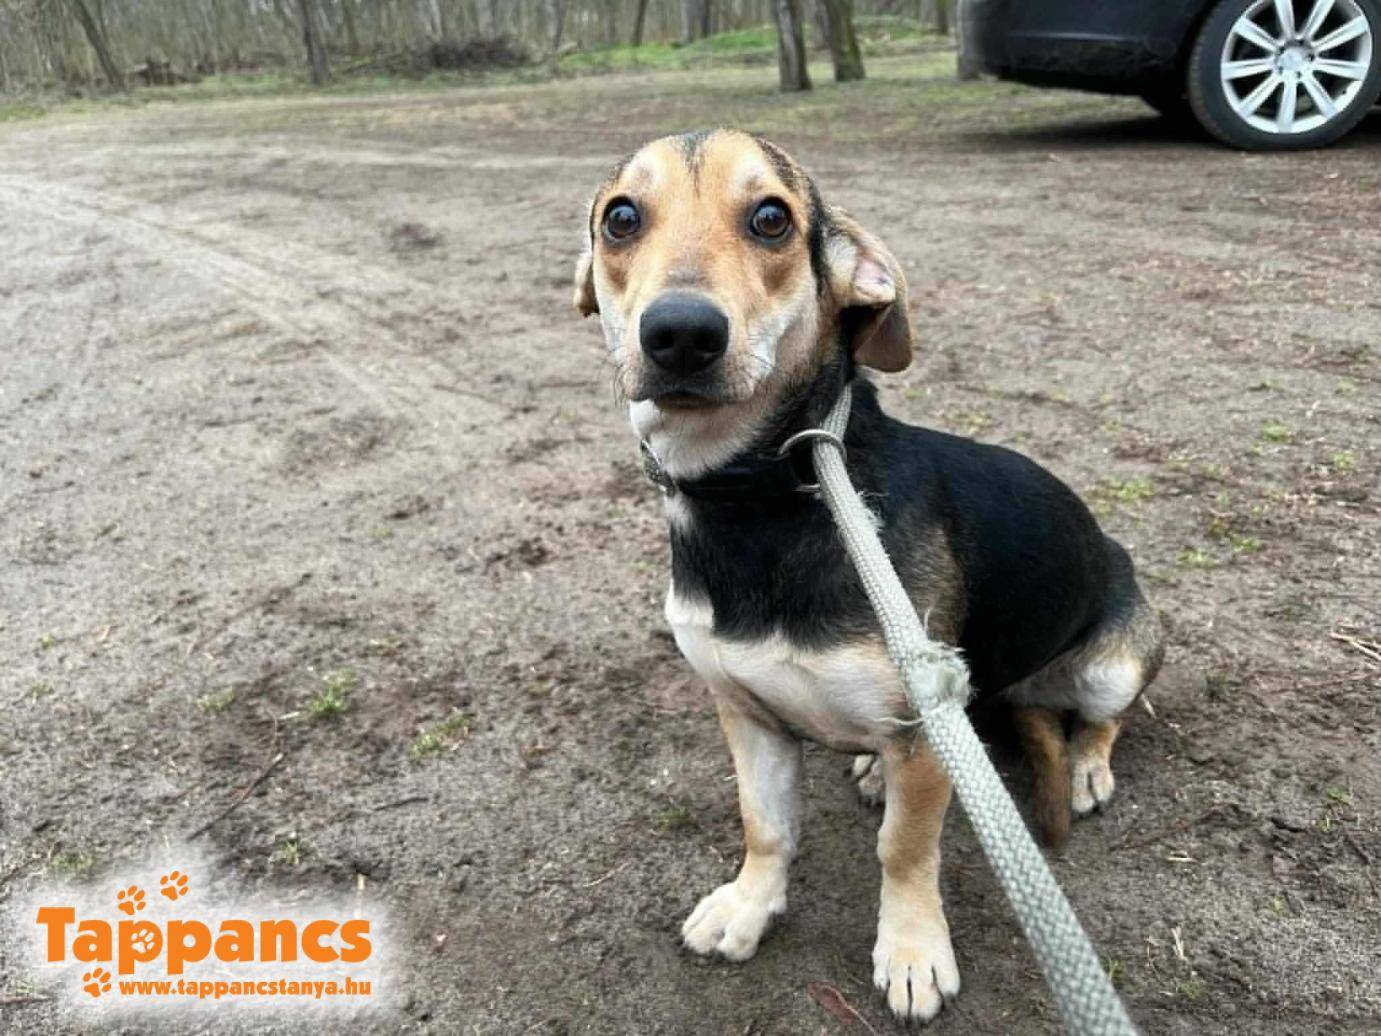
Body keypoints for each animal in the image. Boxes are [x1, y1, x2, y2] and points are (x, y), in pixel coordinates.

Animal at [573, 129, 1164, 1024]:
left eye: (772, 218)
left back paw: (1087, 767)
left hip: (1110, 662)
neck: (764, 497)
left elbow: (904, 851)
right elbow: (766, 828)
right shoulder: (745, 712)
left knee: (1104, 717)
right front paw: (749, 907)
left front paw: (912, 951)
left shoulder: (923, 730)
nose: (679, 333)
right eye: (621, 218)